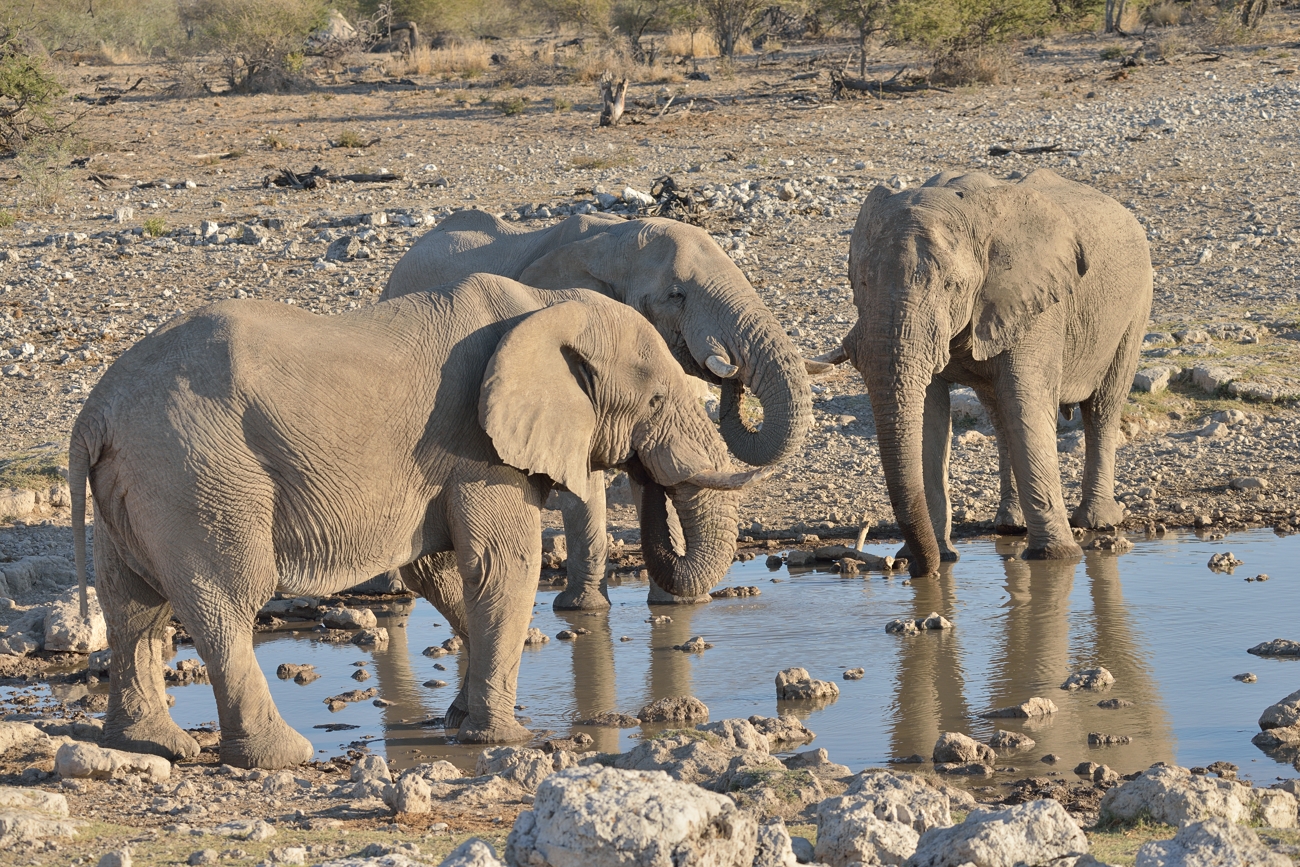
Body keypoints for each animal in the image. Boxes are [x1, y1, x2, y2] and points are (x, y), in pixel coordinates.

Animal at [68, 274, 759, 769]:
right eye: (657, 400)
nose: (646, 476)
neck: (545, 307)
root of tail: (95, 412)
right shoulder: (478, 445)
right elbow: (502, 565)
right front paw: (503, 737)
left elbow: (438, 569)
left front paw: (458, 721)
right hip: (198, 475)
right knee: (226, 603)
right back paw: (281, 757)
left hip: (137, 483)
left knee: (132, 606)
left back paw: (150, 746)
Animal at [379, 211, 816, 610]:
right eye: (676, 295)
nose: (729, 368)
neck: (615, 238)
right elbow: (584, 483)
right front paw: (584, 610)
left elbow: (655, 470)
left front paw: (677, 606)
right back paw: (391, 590)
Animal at [847, 168, 1154, 577]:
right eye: (861, 282)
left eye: (952, 286)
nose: (916, 570)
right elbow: (930, 413)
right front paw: (938, 560)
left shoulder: (1038, 305)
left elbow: (1028, 404)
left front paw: (1056, 558)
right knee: (1000, 414)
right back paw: (1011, 525)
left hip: (1135, 306)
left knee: (1102, 406)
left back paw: (1097, 522)